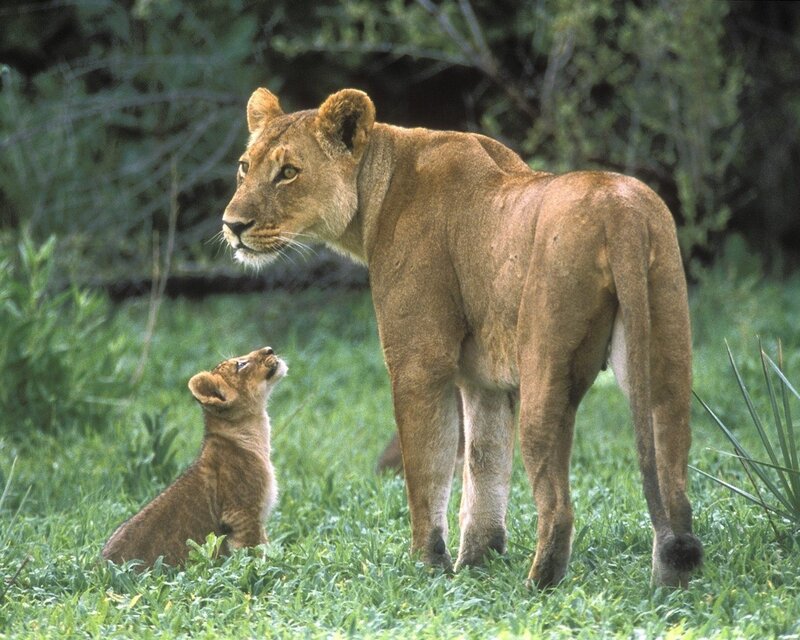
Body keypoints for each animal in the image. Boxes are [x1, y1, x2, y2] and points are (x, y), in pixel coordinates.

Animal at [102, 347, 286, 568]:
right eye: (240, 364)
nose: (270, 349)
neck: (254, 432)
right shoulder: (242, 514)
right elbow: (253, 554)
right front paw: (265, 571)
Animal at [221, 87, 703, 588]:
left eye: (288, 172)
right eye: (244, 167)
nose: (232, 225)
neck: (376, 190)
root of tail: (622, 211)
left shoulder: (420, 364)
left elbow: (426, 471)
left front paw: (426, 567)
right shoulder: (483, 381)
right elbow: (485, 467)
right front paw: (477, 565)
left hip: (546, 372)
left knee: (559, 506)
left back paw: (536, 588)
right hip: (665, 354)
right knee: (674, 482)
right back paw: (671, 581)